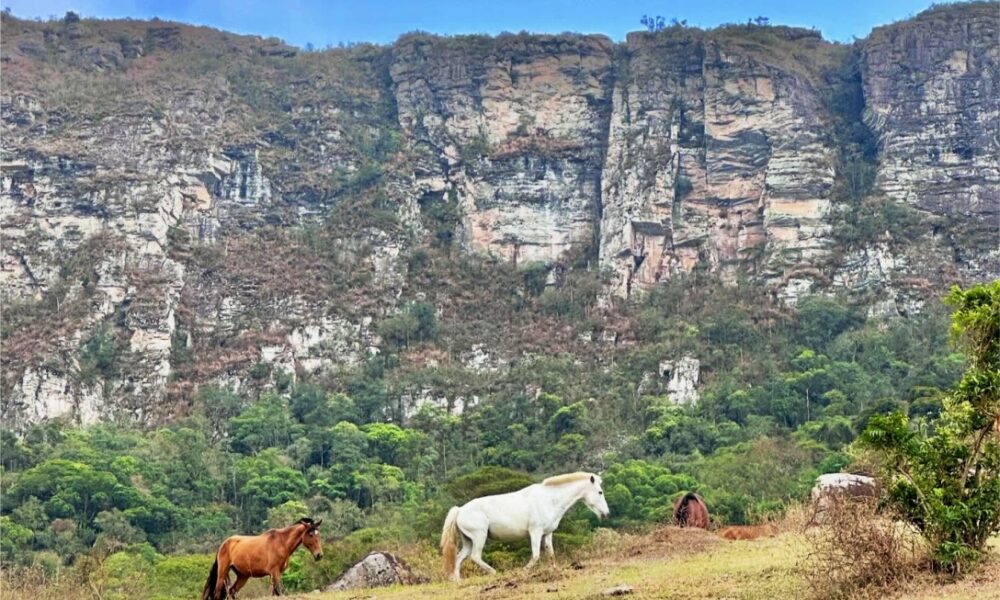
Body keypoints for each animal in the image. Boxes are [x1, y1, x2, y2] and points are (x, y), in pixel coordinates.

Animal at [440, 472, 608, 580]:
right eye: (600, 492)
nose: (606, 513)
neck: (549, 499)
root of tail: (460, 510)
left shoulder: (547, 534)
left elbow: (551, 555)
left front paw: (555, 571)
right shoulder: (535, 532)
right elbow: (536, 556)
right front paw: (523, 571)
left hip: (468, 540)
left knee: (459, 558)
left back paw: (457, 581)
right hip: (479, 537)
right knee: (475, 556)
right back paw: (494, 573)